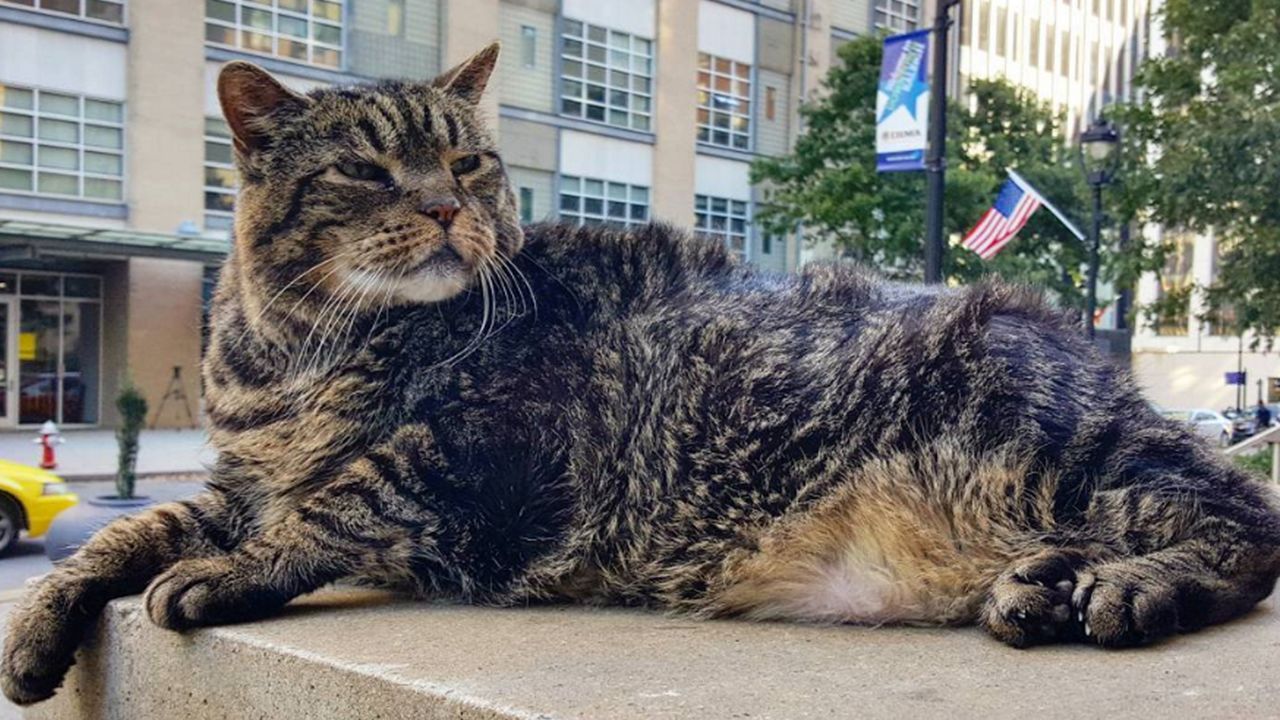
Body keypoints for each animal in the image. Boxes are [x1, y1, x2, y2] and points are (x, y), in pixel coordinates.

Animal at [2, 41, 1280, 702]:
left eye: (468, 163)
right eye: (368, 172)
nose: (448, 210)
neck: (293, 353)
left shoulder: (490, 438)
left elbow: (344, 498)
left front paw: (233, 572)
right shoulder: (232, 479)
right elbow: (127, 532)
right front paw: (41, 620)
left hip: (1055, 439)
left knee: (1241, 523)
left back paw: (1128, 587)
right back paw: (1045, 583)